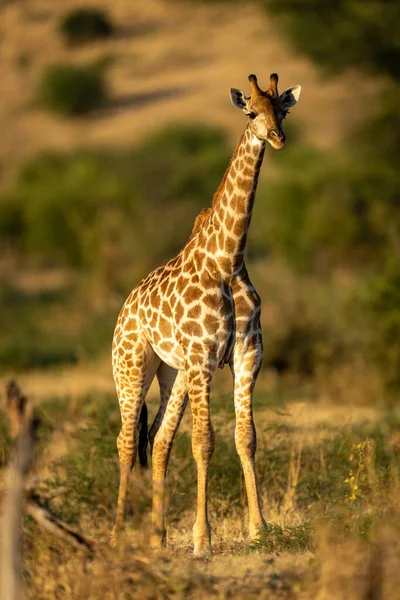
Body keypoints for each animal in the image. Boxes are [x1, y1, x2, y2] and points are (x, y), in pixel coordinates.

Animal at [111, 72, 302, 556]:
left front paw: (260, 528)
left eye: (283, 110)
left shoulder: (246, 355)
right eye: (251, 112)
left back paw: (158, 537)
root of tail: (123, 311)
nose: (278, 138)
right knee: (126, 440)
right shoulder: (203, 357)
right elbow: (204, 441)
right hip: (132, 367)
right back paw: (118, 535)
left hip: (173, 372)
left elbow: (245, 437)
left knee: (158, 440)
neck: (228, 260)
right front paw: (203, 540)